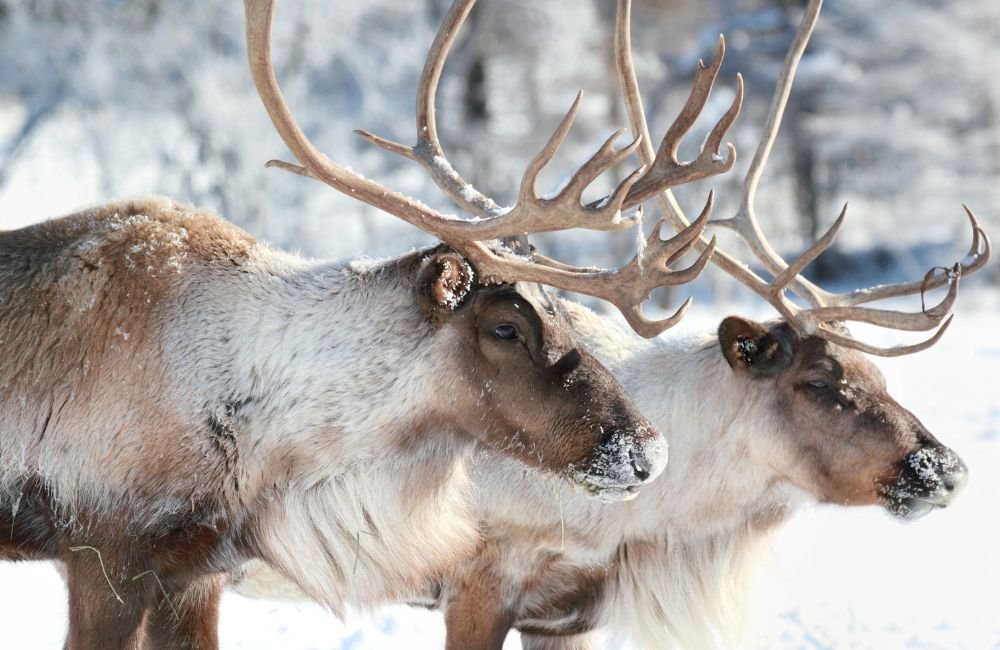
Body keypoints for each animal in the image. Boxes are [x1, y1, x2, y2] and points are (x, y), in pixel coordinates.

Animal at [230, 0, 991, 648]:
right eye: (821, 383)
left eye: (879, 374)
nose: (947, 469)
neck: (651, 523)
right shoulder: (479, 583)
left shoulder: (571, 610)